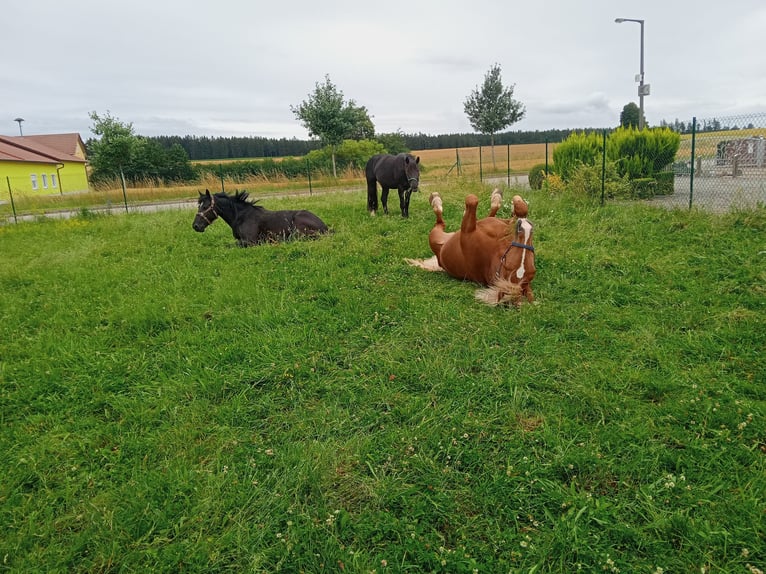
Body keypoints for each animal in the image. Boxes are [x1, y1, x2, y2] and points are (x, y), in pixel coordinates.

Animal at [194, 190, 328, 246]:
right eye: (198, 205)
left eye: (205, 206)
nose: (195, 226)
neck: (241, 216)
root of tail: (326, 228)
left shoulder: (250, 241)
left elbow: (230, 245)